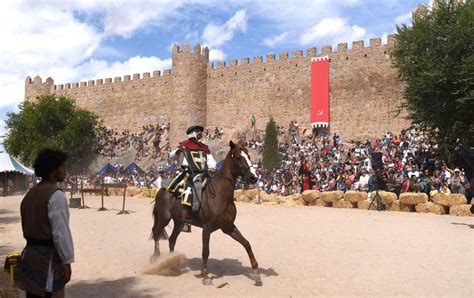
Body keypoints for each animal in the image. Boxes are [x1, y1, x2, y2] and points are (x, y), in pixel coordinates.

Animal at [151, 141, 262, 286]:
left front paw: (256, 273)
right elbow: (205, 251)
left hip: (179, 223)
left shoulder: (228, 227)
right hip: (164, 218)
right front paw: (205, 276)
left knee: (171, 240)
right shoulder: (207, 228)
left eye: (248, 156)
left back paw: (172, 262)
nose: (253, 177)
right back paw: (156, 258)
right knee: (156, 233)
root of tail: (161, 189)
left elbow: (246, 243)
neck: (220, 194)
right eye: (238, 158)